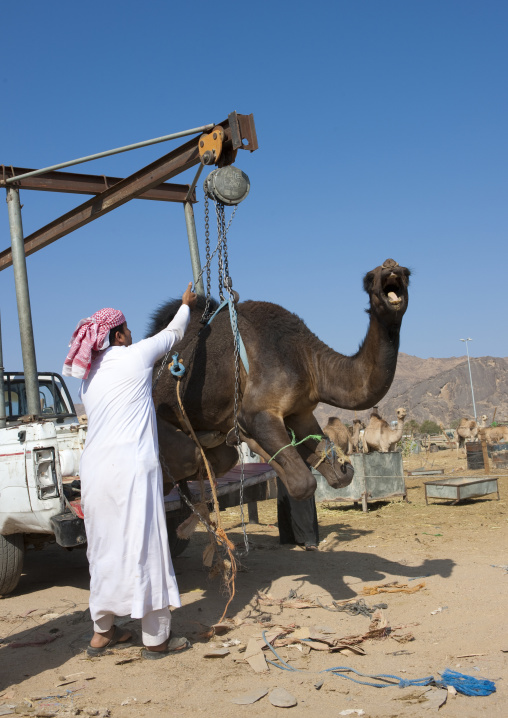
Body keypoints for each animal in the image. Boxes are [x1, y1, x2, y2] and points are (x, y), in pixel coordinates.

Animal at [151, 258, 410, 500]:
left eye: (406, 272)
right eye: (369, 278)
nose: (391, 267)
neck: (308, 359)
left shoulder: (301, 412)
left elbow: (337, 473)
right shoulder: (260, 411)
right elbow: (302, 483)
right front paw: (244, 435)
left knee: (220, 459)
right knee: (188, 458)